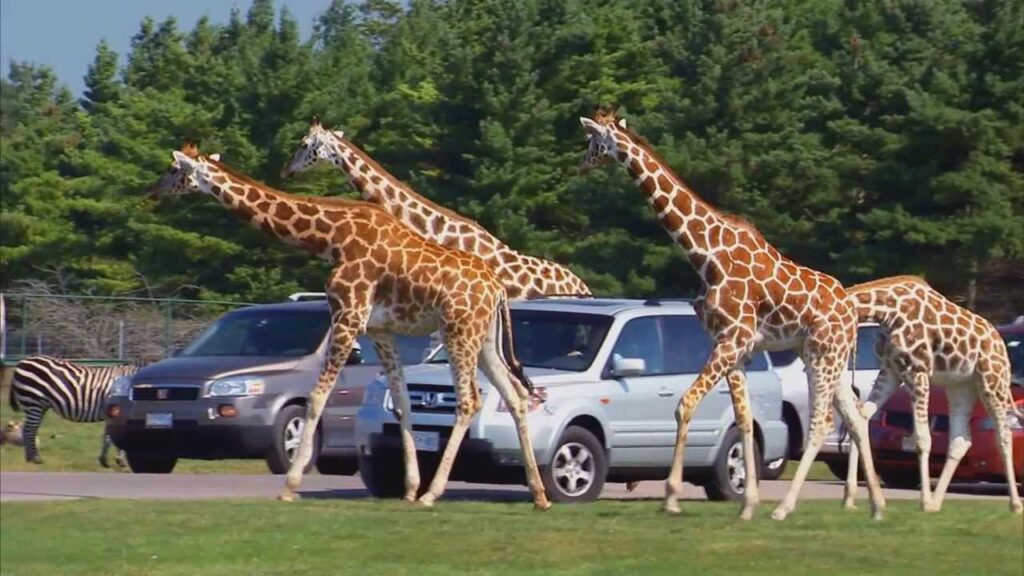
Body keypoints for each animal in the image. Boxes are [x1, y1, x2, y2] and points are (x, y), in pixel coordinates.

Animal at [150, 143, 550, 510]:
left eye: (173, 169)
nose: (151, 192)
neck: (330, 238)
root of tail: (497, 288)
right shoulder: (378, 329)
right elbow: (401, 403)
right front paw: (408, 487)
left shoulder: (346, 315)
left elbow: (316, 397)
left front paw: (290, 485)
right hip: (484, 339)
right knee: (515, 395)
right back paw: (539, 494)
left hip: (458, 331)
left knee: (469, 400)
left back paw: (434, 494)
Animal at [578, 109, 886, 521]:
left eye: (594, 142)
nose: (581, 166)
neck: (706, 253)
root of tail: (851, 311)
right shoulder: (734, 345)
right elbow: (743, 419)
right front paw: (748, 502)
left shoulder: (732, 338)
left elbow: (685, 404)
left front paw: (671, 497)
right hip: (822, 356)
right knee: (855, 417)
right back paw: (876, 506)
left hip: (825, 353)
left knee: (822, 422)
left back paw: (785, 507)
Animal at [842, 275, 1023, 514]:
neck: (888, 311)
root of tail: (1000, 344)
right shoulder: (891, 370)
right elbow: (861, 417)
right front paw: (849, 497)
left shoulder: (917, 371)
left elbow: (922, 438)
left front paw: (924, 502)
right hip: (961, 387)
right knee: (960, 440)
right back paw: (938, 502)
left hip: (992, 381)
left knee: (1004, 436)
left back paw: (1015, 505)